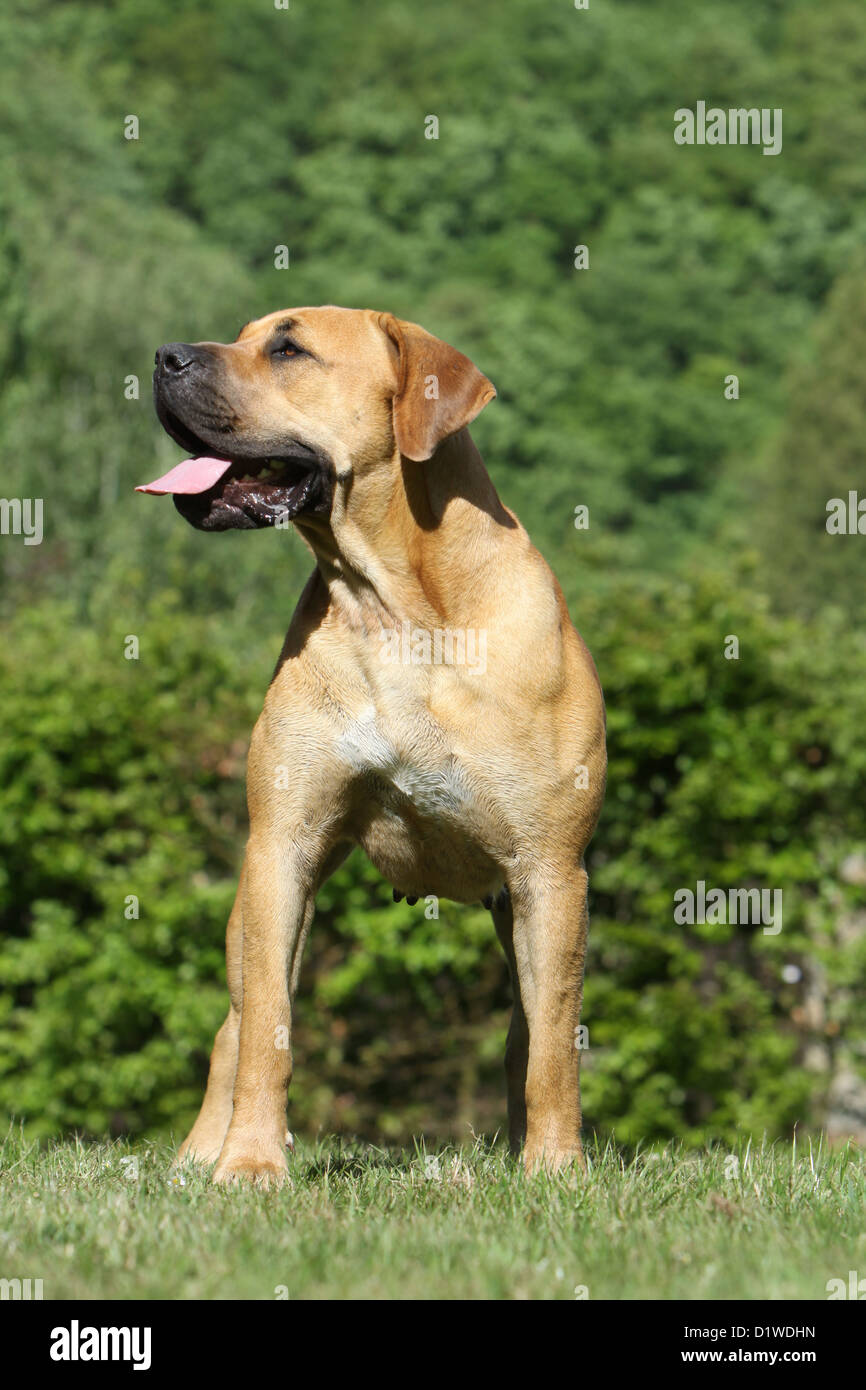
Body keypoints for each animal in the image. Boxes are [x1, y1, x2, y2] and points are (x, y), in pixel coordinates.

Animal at [139, 307, 606, 1184]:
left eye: (287, 348)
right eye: (244, 334)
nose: (164, 355)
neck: (397, 609)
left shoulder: (551, 870)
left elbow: (554, 1046)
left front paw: (556, 1170)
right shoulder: (282, 843)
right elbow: (267, 1032)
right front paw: (250, 1164)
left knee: (527, 1032)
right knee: (236, 1023)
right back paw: (199, 1154)